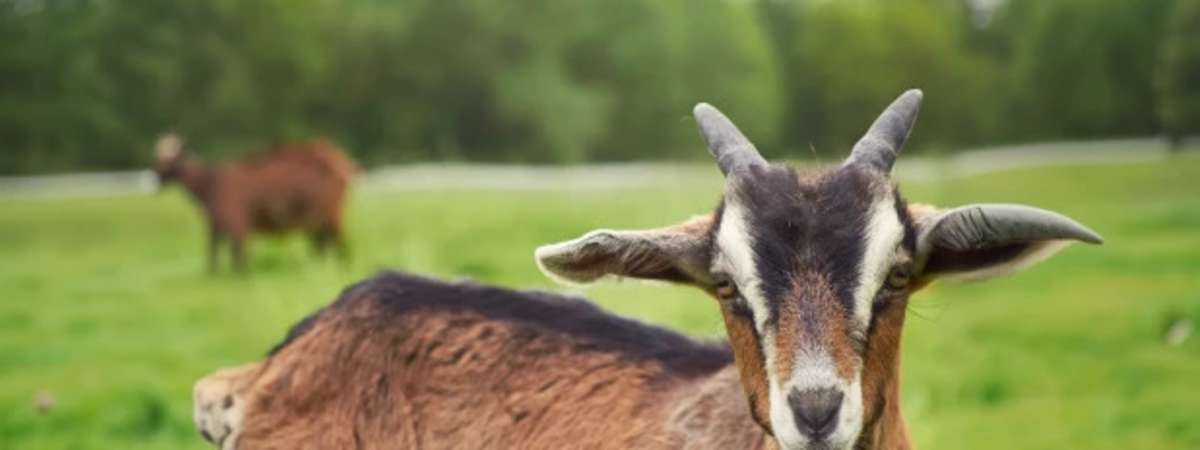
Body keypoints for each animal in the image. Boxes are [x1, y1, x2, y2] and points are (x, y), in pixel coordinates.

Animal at [153, 135, 357, 272]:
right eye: (158, 159)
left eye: (169, 160)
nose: (157, 180)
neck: (210, 184)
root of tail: (341, 161)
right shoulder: (216, 225)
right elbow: (215, 256)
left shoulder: (236, 222)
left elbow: (238, 257)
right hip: (317, 219)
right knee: (323, 245)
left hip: (331, 213)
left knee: (340, 245)